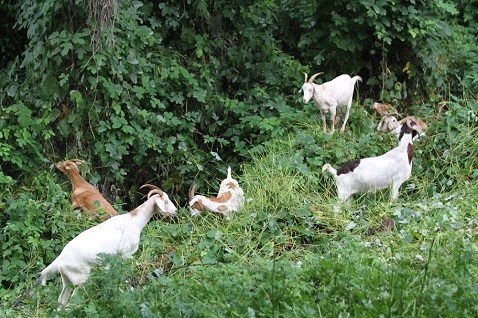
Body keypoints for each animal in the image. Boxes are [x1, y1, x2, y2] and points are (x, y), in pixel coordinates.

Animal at [15, 185, 179, 306]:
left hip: (67, 280)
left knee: (61, 300)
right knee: (73, 300)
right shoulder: (125, 255)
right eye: (165, 202)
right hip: (81, 278)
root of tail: (60, 260)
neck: (133, 221)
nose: (175, 211)